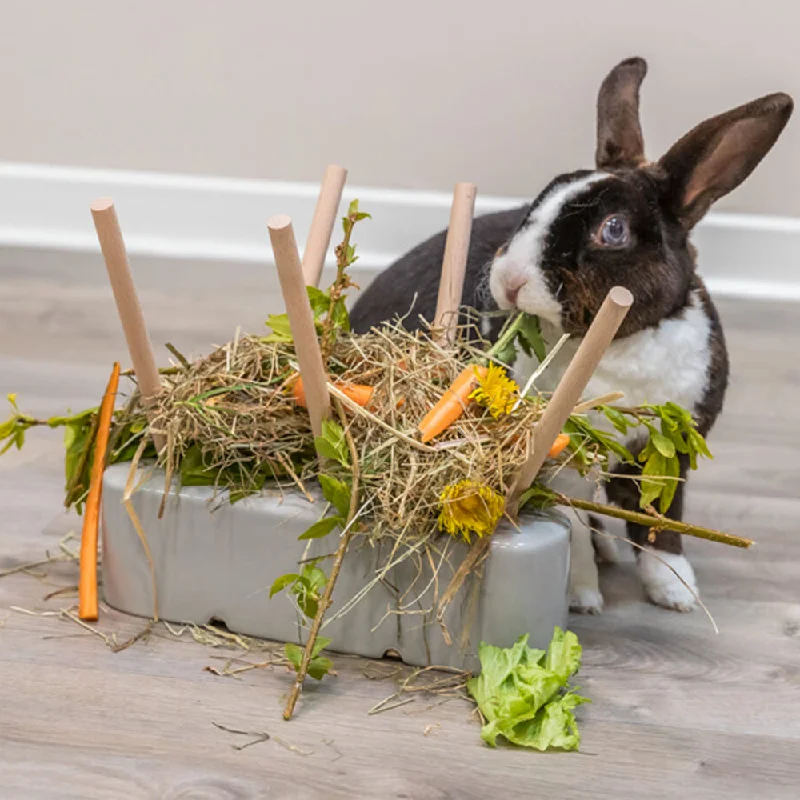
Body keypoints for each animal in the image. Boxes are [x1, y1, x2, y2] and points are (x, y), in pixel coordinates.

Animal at [352, 57, 792, 612]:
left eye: (614, 229)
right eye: (537, 205)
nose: (510, 280)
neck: (616, 347)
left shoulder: (666, 452)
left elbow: (659, 519)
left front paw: (676, 592)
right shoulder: (559, 463)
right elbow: (572, 526)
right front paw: (583, 596)